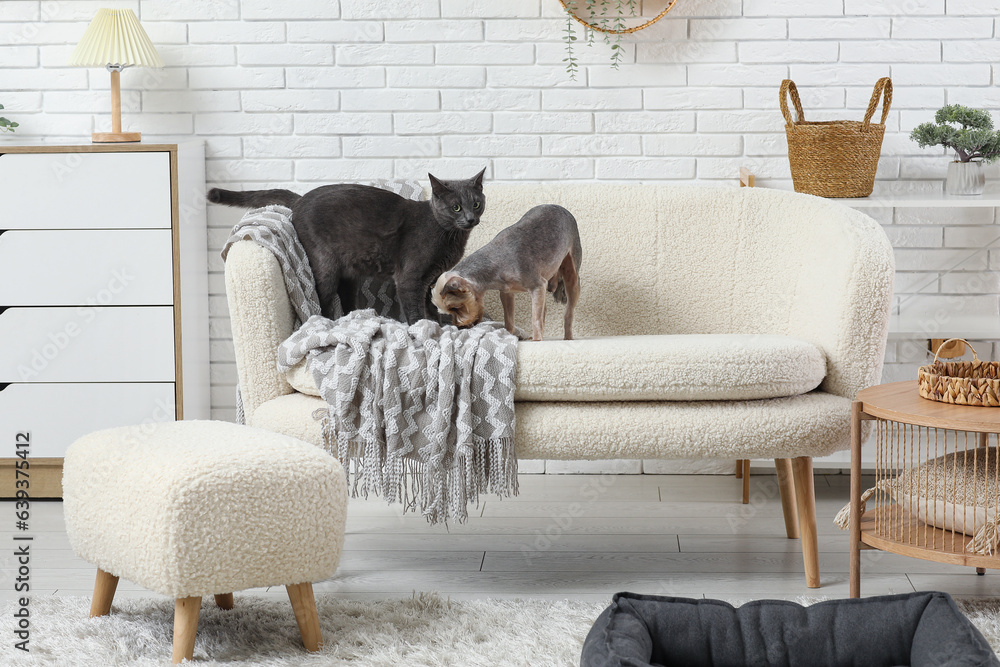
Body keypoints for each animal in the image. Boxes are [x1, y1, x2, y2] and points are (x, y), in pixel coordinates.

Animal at [209, 167, 486, 324]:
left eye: (476, 203)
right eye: (456, 207)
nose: (470, 218)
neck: (449, 236)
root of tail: (300, 199)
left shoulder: (430, 278)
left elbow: (429, 305)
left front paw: (439, 325)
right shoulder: (410, 278)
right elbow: (415, 309)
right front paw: (422, 328)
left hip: (349, 275)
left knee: (347, 304)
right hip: (325, 266)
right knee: (321, 302)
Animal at [434, 204, 584, 342]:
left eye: (456, 308)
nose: (460, 327)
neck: (494, 265)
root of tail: (562, 208)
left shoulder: (537, 285)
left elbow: (535, 318)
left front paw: (536, 340)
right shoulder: (507, 292)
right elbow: (509, 319)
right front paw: (508, 335)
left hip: (572, 271)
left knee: (568, 311)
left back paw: (567, 337)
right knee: (544, 309)